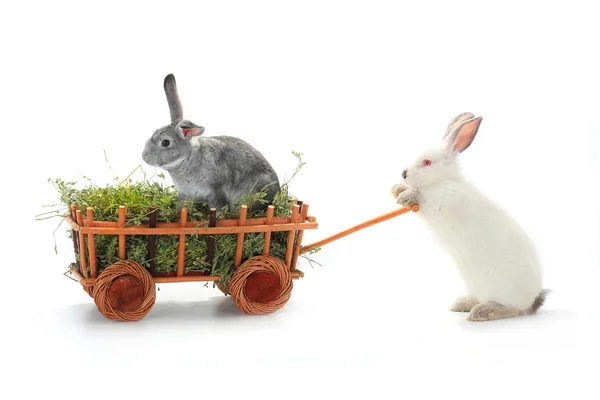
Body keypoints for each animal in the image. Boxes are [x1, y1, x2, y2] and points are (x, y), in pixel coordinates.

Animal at [142, 75, 280, 212]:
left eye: (165, 142)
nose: (144, 157)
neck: (187, 158)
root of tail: (276, 192)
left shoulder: (216, 192)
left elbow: (218, 208)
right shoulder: (184, 194)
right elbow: (180, 207)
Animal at [392, 112, 552, 322]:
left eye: (427, 162)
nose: (403, 174)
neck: (443, 181)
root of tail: (531, 301)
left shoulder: (442, 203)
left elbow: (424, 199)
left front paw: (406, 194)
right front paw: (398, 189)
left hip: (503, 291)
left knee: (511, 309)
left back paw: (483, 312)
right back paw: (463, 303)